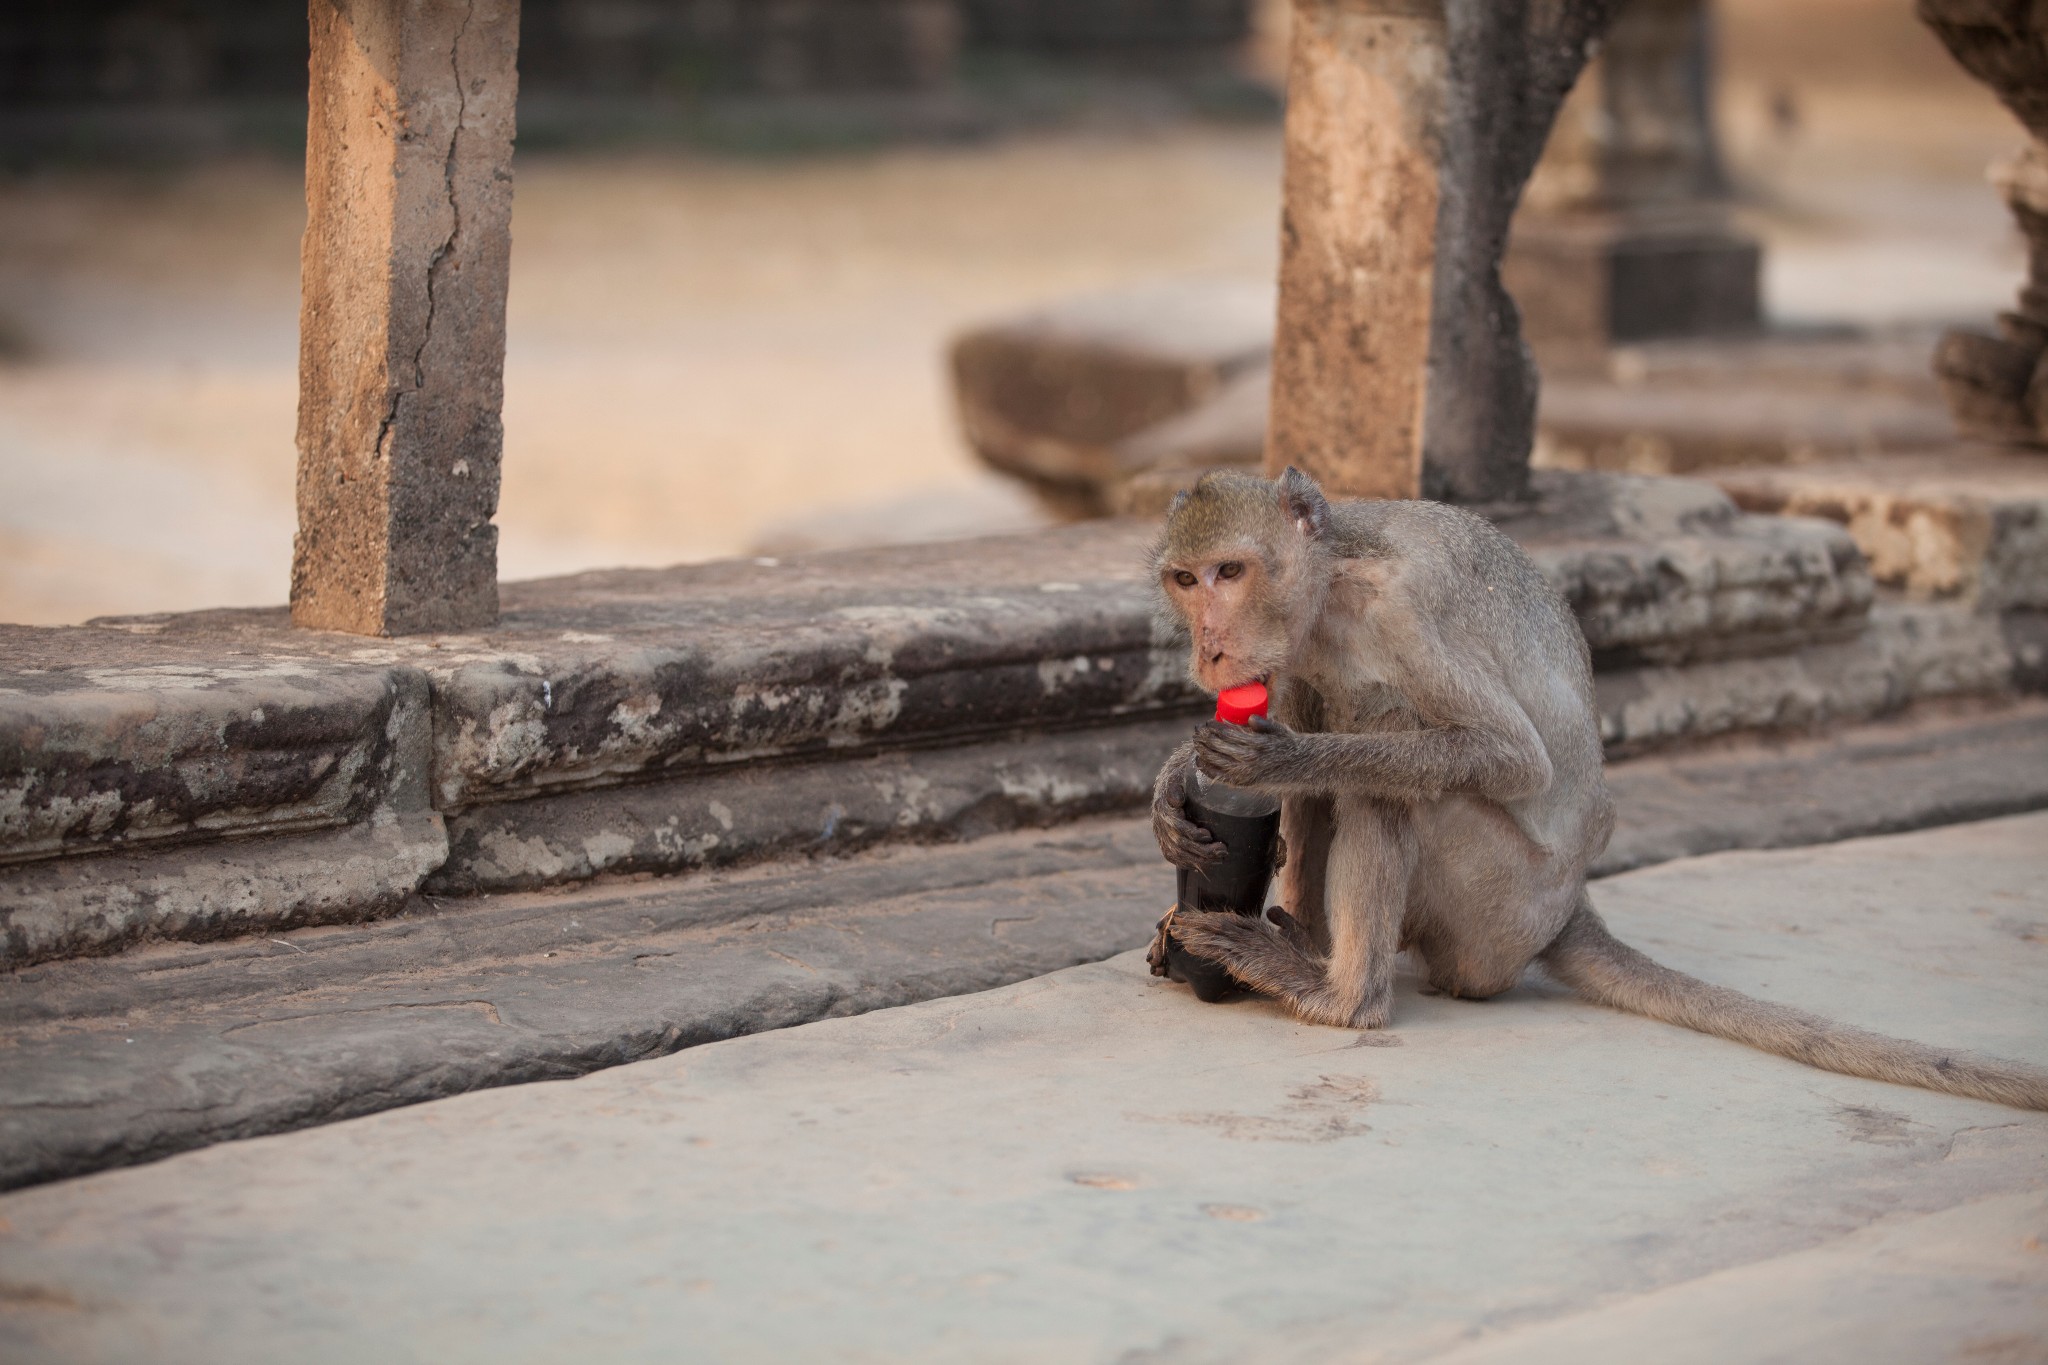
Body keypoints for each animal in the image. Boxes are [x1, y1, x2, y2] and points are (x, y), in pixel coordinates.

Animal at [1146, 466, 2048, 1113]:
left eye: (1231, 570)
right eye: (1185, 580)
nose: (1210, 646)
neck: (1334, 580)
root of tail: (1567, 907)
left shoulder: (1405, 613)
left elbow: (1513, 759)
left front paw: (1275, 761)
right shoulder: (1295, 648)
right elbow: (1296, 704)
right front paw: (1172, 787)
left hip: (1496, 908)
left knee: (1384, 773)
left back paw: (1338, 995)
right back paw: (1302, 940)